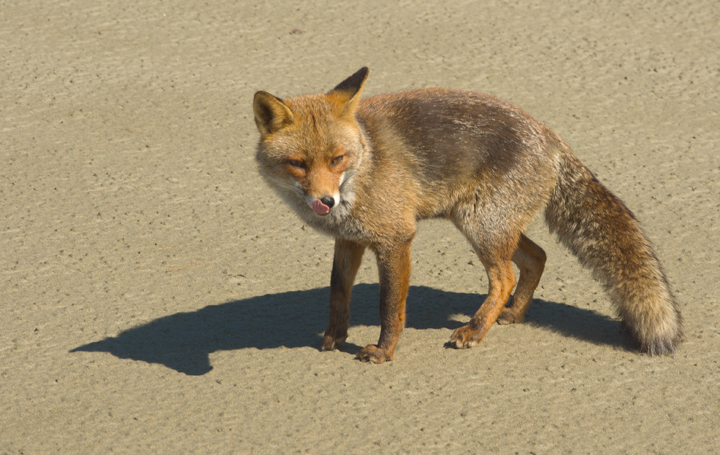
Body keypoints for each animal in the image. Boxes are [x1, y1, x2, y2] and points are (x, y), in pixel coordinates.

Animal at [253, 67, 680, 366]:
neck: (365, 164)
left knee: (505, 277)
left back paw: (475, 329)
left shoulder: (396, 238)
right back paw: (512, 314)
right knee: (537, 258)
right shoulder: (350, 239)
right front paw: (333, 337)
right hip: (485, 224)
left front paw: (384, 351)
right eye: (298, 164)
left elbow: (390, 307)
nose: (326, 201)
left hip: (482, 228)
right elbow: (337, 291)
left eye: (337, 159)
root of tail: (552, 138)